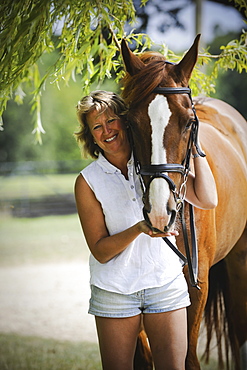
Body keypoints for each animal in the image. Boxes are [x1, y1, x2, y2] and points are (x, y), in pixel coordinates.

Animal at [120, 33, 247, 368]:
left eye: (189, 123)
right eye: (130, 123)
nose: (159, 212)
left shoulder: (194, 285)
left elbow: (187, 355)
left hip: (240, 261)